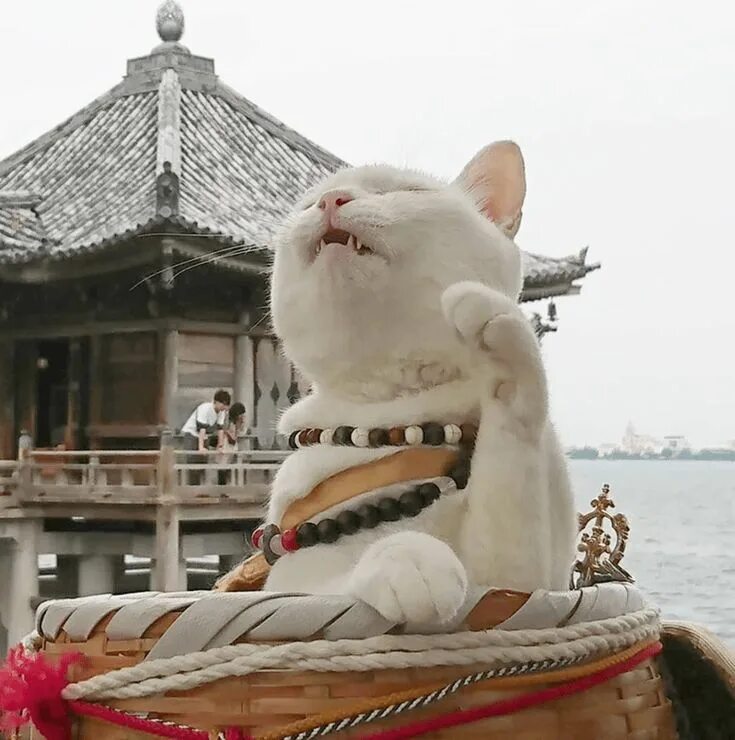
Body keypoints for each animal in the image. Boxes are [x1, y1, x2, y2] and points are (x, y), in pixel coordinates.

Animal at [258, 140, 576, 624]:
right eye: (307, 203)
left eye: (406, 191)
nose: (332, 200)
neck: (394, 411)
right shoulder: (292, 586)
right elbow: (336, 582)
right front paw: (410, 561)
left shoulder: (522, 582)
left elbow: (514, 442)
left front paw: (492, 326)